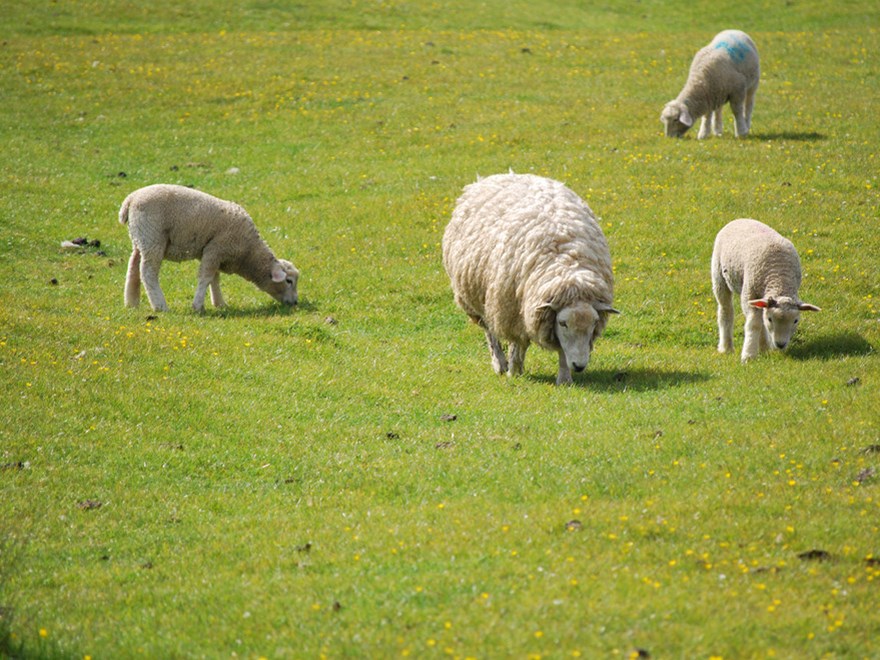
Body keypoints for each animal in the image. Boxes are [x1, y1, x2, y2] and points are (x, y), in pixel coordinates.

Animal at [117, 183, 300, 312]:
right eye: (289, 281)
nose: (296, 302)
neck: (249, 252)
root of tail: (130, 200)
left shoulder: (214, 253)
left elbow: (215, 278)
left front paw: (220, 303)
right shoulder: (216, 249)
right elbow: (206, 277)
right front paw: (198, 306)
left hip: (140, 239)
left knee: (133, 267)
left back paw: (131, 303)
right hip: (153, 238)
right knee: (148, 272)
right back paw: (160, 306)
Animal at [440, 173, 620, 384]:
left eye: (593, 323)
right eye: (563, 323)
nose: (579, 366)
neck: (567, 264)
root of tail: (498, 176)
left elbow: (561, 349)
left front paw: (564, 378)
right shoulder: (513, 311)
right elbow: (518, 342)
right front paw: (514, 370)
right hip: (480, 299)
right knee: (491, 331)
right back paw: (500, 363)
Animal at [708, 218, 820, 364]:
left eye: (796, 321)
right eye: (770, 319)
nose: (780, 345)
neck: (779, 278)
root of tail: (741, 219)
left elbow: (760, 321)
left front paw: (763, 349)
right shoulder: (749, 293)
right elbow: (754, 324)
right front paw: (749, 355)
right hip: (719, 276)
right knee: (726, 310)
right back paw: (726, 347)